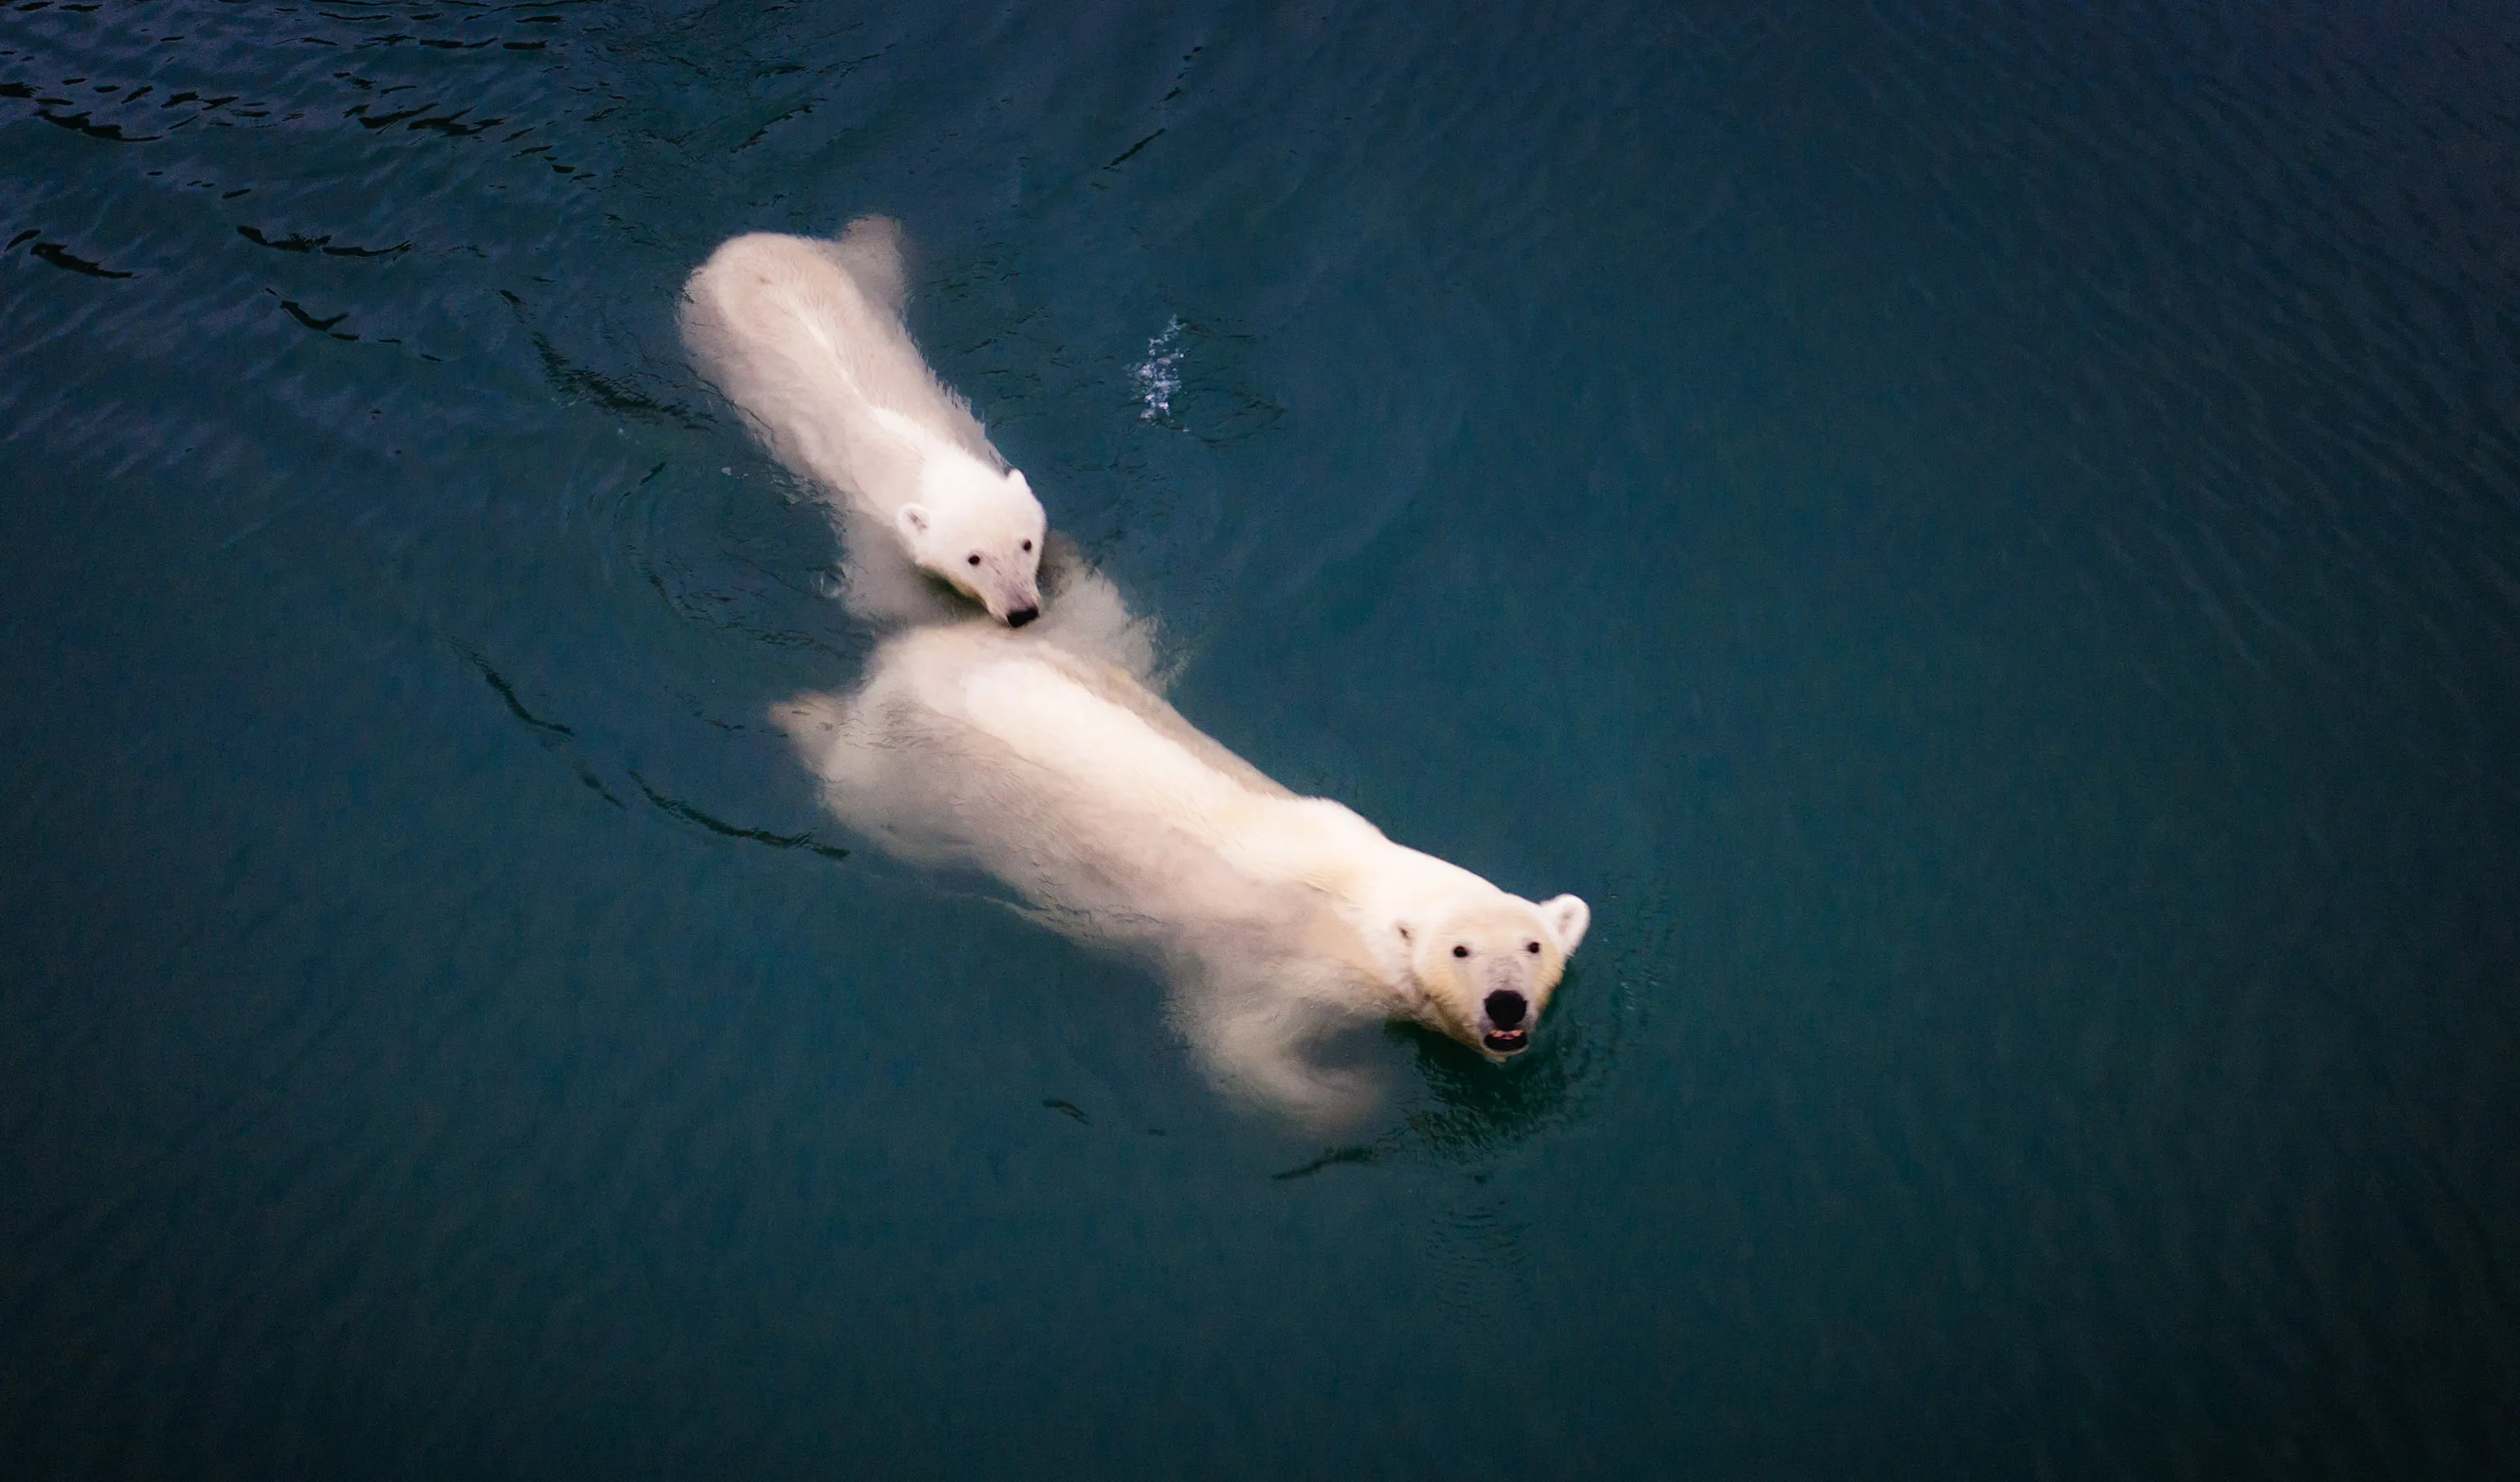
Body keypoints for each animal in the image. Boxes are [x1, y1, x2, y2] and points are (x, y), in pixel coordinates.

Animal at [681, 219, 1047, 626]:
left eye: (1027, 543)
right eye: (974, 558)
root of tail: (738, 246)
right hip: (705, 335)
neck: (927, 457)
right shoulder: (873, 526)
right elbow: (881, 596)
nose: (1021, 611)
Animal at [771, 555, 1589, 1125]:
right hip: (905, 786)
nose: (1507, 1006)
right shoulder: (1277, 969)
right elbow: (1237, 1050)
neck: (1360, 893)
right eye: (1460, 951)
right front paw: (1361, 1090)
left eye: (1533, 946)